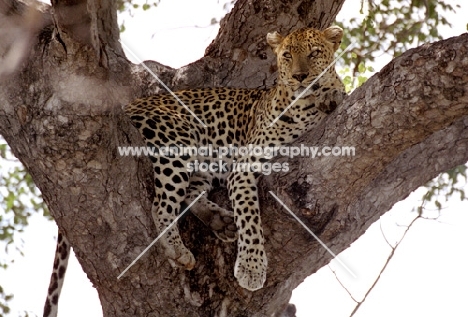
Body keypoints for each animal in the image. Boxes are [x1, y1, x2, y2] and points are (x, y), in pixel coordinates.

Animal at [122, 26, 346, 292]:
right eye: (287, 56)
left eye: (314, 53)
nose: (300, 76)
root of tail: (130, 105)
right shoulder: (244, 167)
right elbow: (249, 217)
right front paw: (252, 267)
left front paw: (332, 95)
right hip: (177, 137)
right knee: (161, 205)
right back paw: (178, 249)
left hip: (205, 160)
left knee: (189, 193)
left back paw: (221, 221)